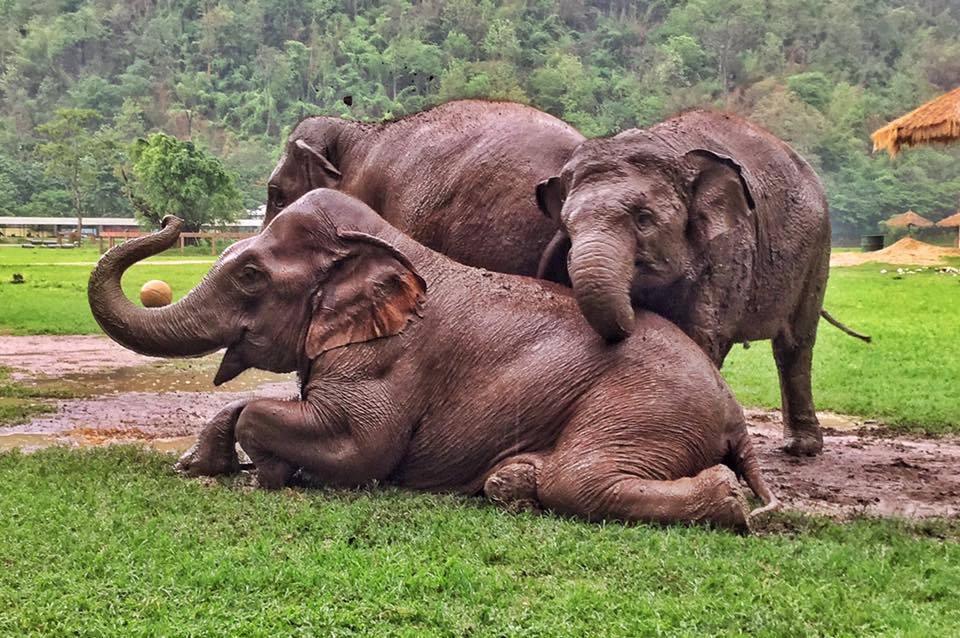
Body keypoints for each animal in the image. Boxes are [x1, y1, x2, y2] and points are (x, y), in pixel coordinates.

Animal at [88, 190, 780, 536]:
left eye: (251, 274)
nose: (169, 217)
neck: (385, 247)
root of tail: (730, 406)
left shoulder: (388, 362)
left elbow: (360, 449)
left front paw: (273, 473)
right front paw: (195, 466)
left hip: (646, 410)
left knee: (580, 480)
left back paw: (725, 502)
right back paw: (513, 482)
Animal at [536, 111, 872, 460]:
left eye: (644, 219)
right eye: (568, 226)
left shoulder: (729, 245)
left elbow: (701, 335)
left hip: (818, 248)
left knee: (795, 344)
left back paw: (801, 448)